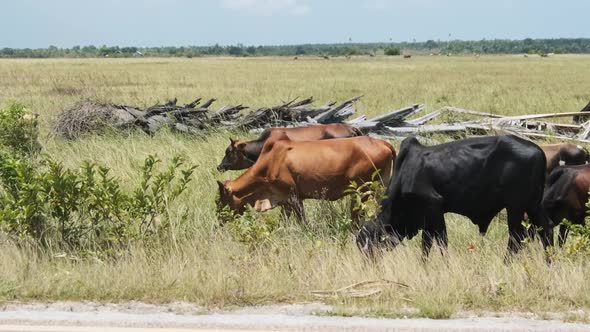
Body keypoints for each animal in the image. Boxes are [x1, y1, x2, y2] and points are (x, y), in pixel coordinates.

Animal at [217, 133, 398, 223]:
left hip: (362, 191)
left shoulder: (294, 197)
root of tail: (383, 143)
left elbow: (303, 221)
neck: (270, 161)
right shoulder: (285, 201)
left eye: (220, 200)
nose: (219, 221)